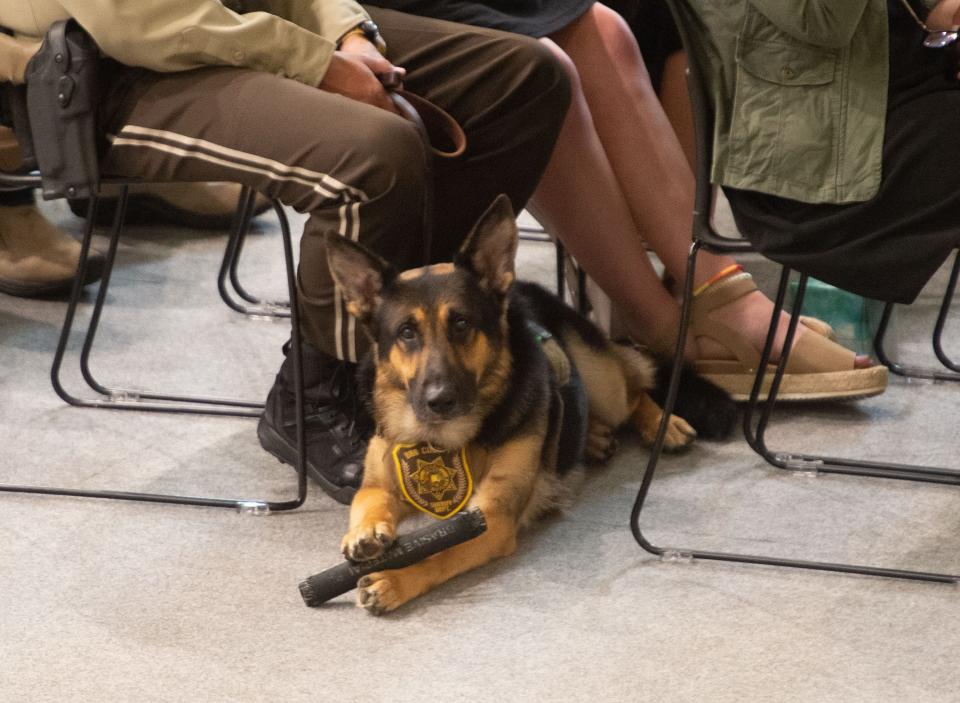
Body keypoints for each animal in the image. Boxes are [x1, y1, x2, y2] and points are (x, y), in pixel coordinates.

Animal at [324, 195, 736, 612]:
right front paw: (365, 532)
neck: (442, 439)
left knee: (636, 385)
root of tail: (524, 287)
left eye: (461, 324)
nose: (439, 400)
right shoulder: (380, 481)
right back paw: (594, 437)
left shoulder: (489, 518)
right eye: (407, 332)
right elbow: (367, 499)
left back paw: (663, 425)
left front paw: (395, 579)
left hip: (604, 381)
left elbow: (437, 553)